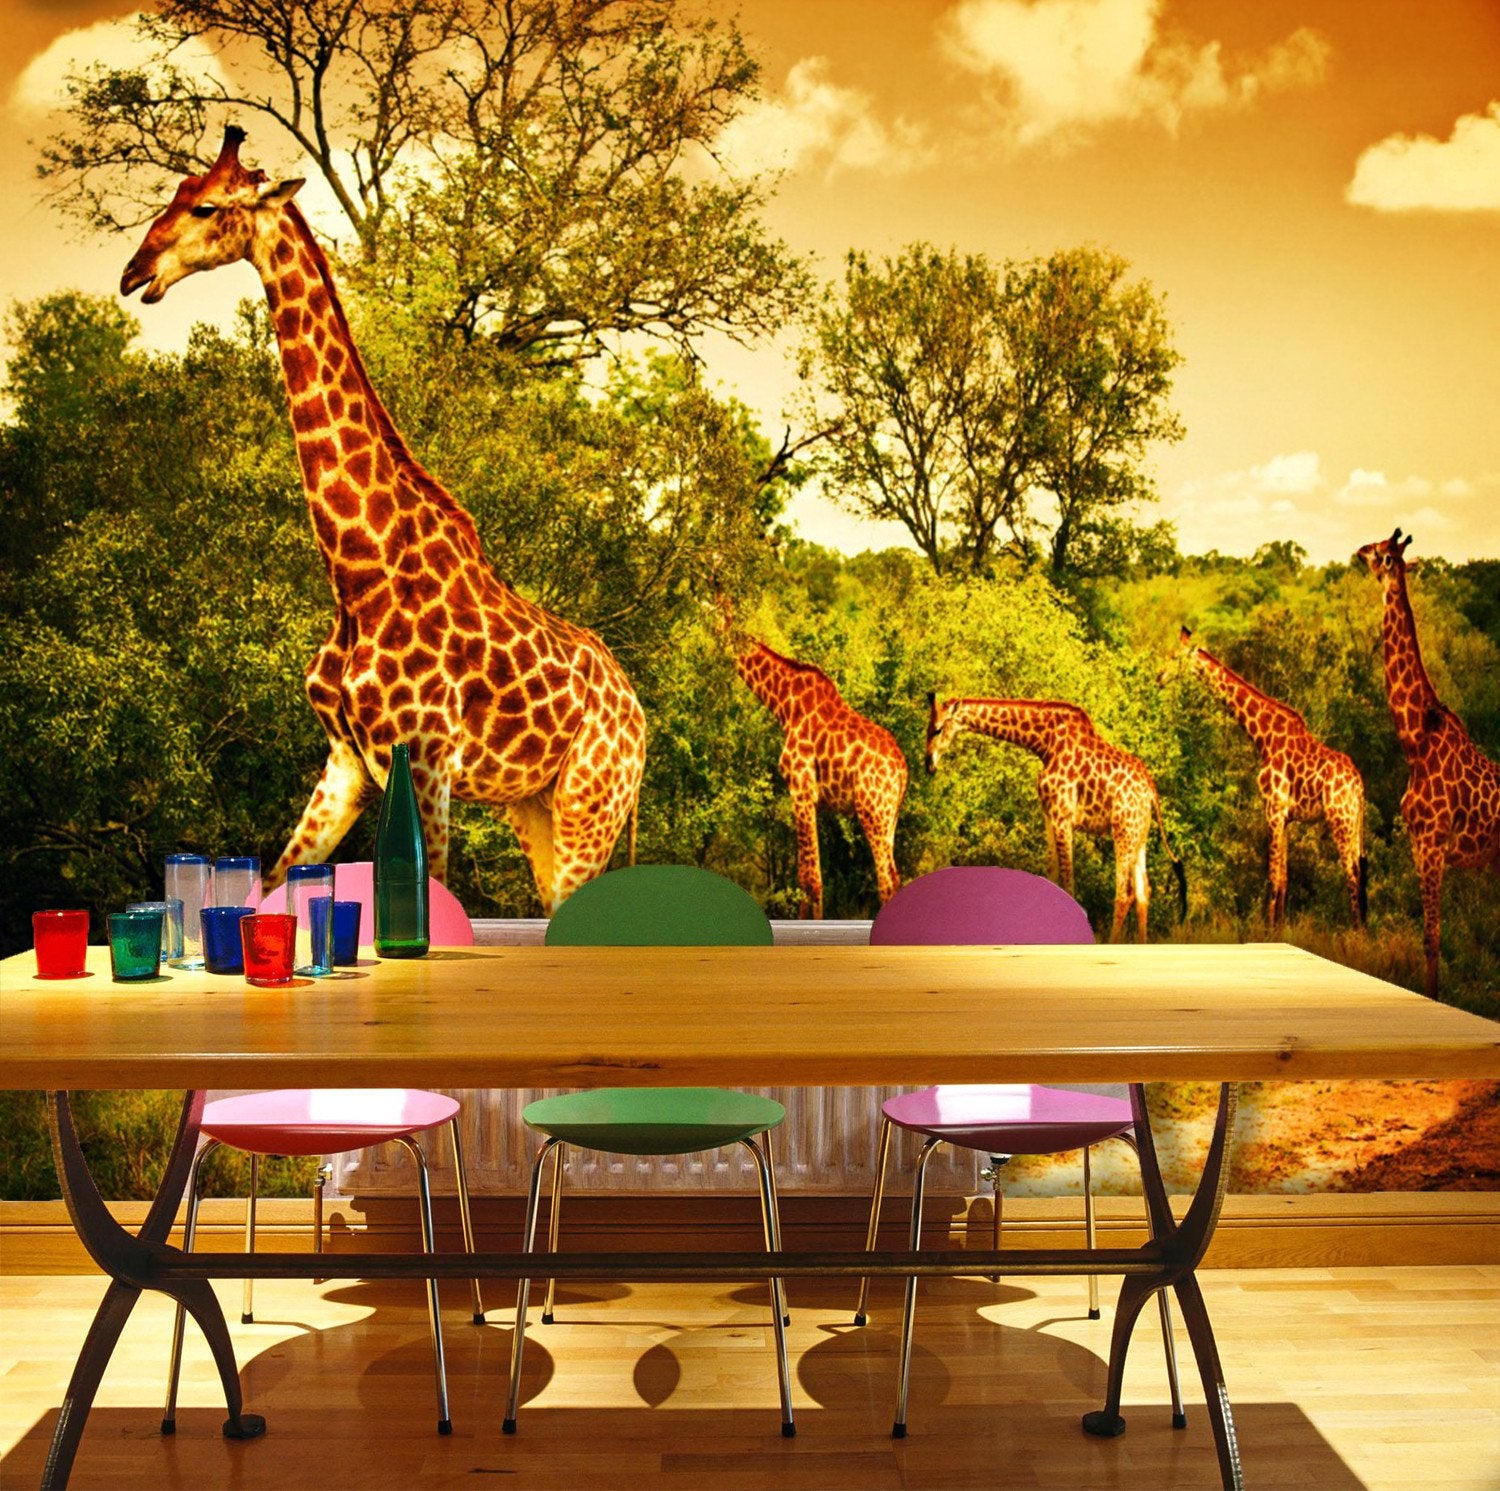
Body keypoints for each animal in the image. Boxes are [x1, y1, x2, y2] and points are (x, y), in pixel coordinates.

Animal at [120, 127, 645, 911]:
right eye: (176, 192)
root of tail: (639, 714)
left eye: (208, 206)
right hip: (535, 806)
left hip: (592, 801)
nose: (134, 272)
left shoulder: (427, 760)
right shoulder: (344, 762)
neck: (359, 574)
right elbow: (272, 883)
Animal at [717, 603, 906, 917]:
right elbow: (812, 876)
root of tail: (902, 771)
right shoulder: (812, 797)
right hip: (890, 815)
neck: (783, 704)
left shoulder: (801, 787)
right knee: (894, 876)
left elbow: (810, 878)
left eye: (714, 614)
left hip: (872, 810)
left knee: (886, 879)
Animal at [926, 695, 1186, 941]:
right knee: (1143, 892)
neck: (1045, 743)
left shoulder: (1063, 815)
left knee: (1124, 894)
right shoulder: (1049, 815)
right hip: (1139, 835)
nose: (929, 764)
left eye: (937, 729)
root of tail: (1151, 791)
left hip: (1123, 830)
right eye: (927, 728)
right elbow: (1051, 875)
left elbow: (1068, 881)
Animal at [1158, 627, 1367, 931]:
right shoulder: (1286, 817)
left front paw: (1268, 929)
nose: (1159, 677)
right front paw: (1280, 927)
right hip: (1354, 822)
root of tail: (1358, 787)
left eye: (1175, 657)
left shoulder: (1273, 810)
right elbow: (1284, 877)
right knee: (1360, 870)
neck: (1263, 737)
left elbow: (1272, 877)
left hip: (1340, 820)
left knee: (1351, 872)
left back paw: (1355, 932)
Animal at [1357, 528, 1499, 997]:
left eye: (1380, 552)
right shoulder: (1420, 846)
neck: (1416, 738)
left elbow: (1432, 938)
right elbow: (1431, 936)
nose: (1358, 551)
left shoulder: (1433, 845)